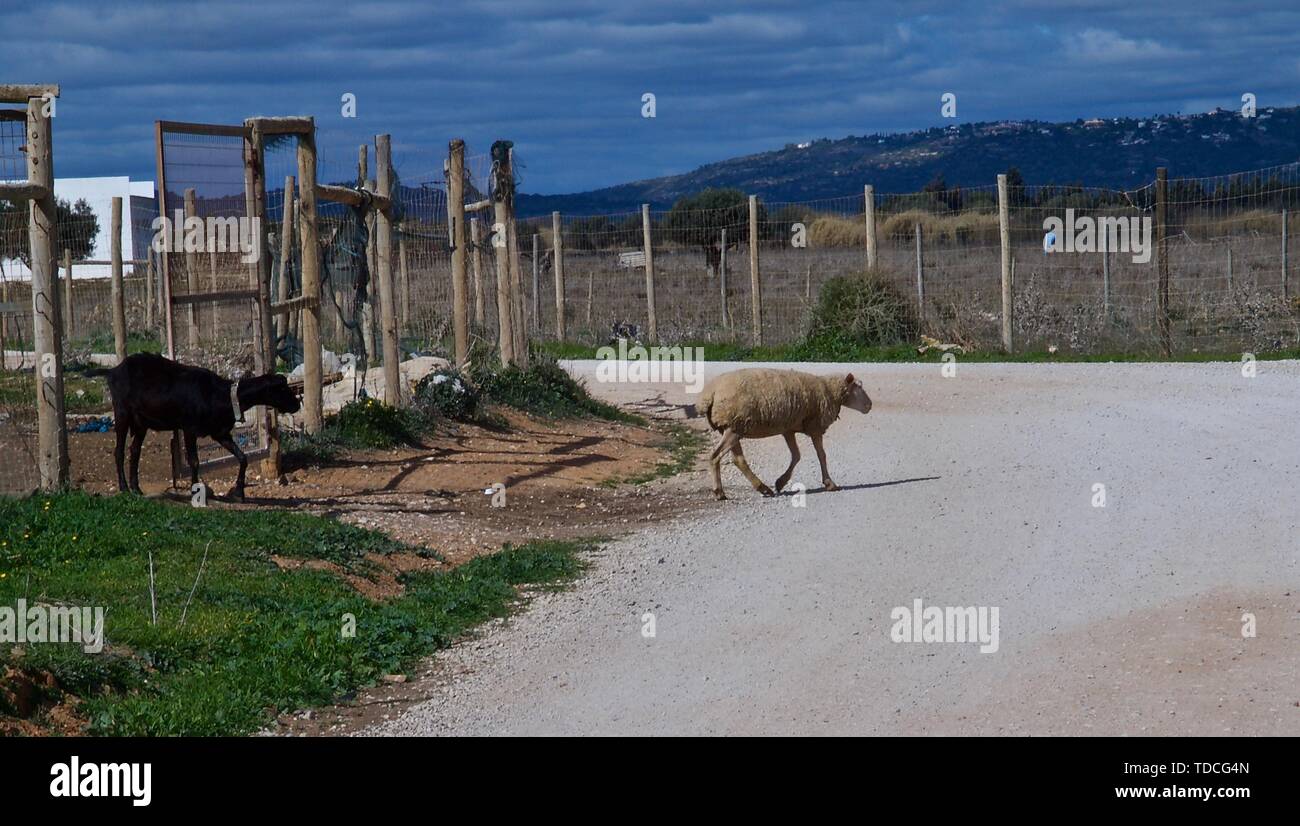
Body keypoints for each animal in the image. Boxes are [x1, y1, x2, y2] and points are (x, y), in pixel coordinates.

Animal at [87, 353, 302, 501]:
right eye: (282, 388)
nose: (297, 404)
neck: (223, 395)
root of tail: (113, 370)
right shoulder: (189, 428)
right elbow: (195, 461)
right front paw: (195, 491)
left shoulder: (220, 433)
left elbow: (242, 457)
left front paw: (238, 492)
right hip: (122, 412)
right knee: (119, 451)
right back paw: (124, 488)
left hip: (141, 422)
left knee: (135, 450)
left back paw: (136, 489)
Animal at [696, 368, 872, 500]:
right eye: (858, 387)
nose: (869, 405)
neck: (829, 390)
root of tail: (710, 394)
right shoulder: (814, 426)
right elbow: (821, 455)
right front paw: (830, 483)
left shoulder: (788, 429)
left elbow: (796, 455)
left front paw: (781, 482)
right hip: (734, 426)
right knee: (715, 456)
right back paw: (719, 492)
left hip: (734, 427)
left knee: (738, 459)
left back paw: (762, 487)